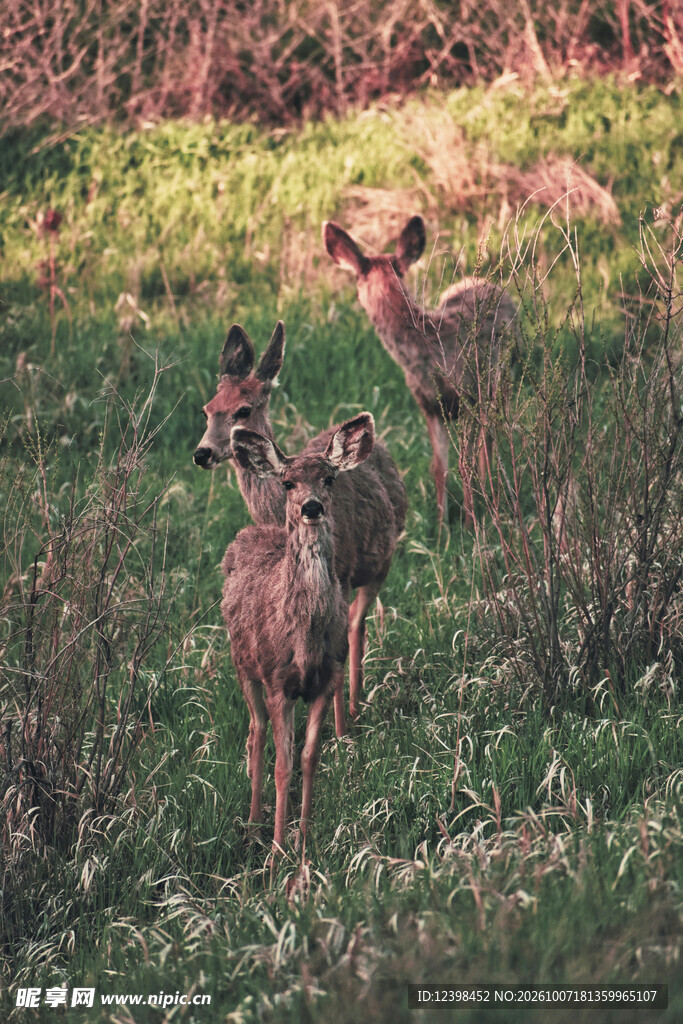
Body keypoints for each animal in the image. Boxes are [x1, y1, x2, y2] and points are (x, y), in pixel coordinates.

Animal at [194, 320, 406, 726]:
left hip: (381, 562)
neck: (275, 514)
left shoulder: (342, 571)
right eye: (207, 409)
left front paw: (339, 731)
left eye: (243, 410)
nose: (202, 453)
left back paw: (353, 708)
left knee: (356, 624)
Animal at [221, 414, 376, 850]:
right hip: (243, 665)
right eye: (288, 482)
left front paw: (304, 843)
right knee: (255, 732)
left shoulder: (327, 678)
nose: (311, 507)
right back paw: (254, 823)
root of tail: (249, 533)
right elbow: (282, 766)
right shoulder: (278, 682)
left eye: (329, 478)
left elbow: (309, 759)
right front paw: (277, 850)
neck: (303, 640)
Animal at [323, 216, 518, 527]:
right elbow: (439, 466)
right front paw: (441, 528)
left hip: (501, 382)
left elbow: (465, 463)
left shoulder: (469, 395)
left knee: (492, 440)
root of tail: (485, 281)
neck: (430, 351)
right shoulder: (428, 405)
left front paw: (470, 524)